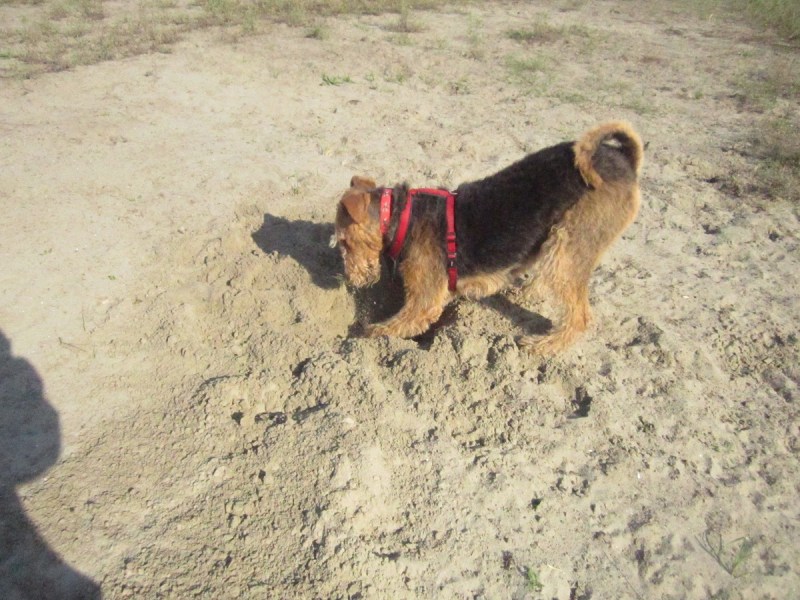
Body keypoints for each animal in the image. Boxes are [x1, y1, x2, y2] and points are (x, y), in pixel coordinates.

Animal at [331, 121, 643, 354]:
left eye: (344, 241)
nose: (351, 281)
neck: (402, 217)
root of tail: (623, 160)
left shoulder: (423, 302)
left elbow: (394, 324)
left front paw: (364, 333)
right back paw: (523, 293)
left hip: (568, 245)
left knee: (579, 316)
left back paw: (541, 345)